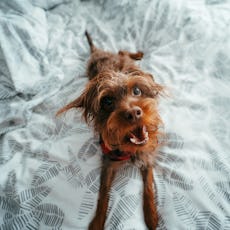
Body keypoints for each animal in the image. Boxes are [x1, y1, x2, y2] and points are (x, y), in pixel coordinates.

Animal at [57, 31, 164, 229]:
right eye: (107, 101)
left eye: (137, 91)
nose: (134, 113)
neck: (130, 149)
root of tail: (97, 52)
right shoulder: (108, 163)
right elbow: (103, 192)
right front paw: (98, 221)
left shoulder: (147, 155)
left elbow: (148, 187)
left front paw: (151, 216)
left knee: (122, 52)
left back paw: (138, 54)